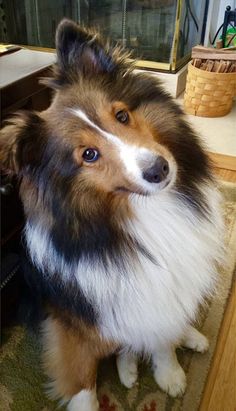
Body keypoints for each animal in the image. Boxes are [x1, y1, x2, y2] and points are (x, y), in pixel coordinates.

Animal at [0, 19, 224, 411]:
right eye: (88, 154)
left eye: (122, 115)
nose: (159, 170)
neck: (142, 212)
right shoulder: (73, 325)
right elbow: (83, 383)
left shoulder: (160, 295)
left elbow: (162, 337)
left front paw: (170, 374)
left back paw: (188, 337)